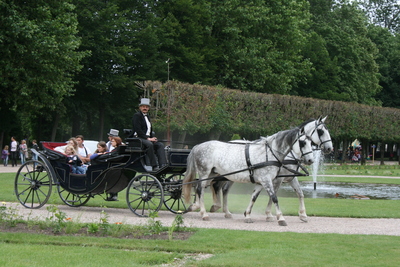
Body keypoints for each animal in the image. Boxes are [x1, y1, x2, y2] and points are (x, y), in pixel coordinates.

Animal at [182, 126, 316, 225]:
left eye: (311, 142)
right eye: (303, 143)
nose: (310, 160)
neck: (269, 154)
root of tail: (198, 146)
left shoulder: (261, 182)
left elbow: (253, 198)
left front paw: (247, 215)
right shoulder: (267, 180)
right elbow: (274, 198)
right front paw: (281, 218)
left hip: (212, 173)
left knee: (202, 188)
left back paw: (199, 208)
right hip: (204, 173)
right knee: (200, 190)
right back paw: (204, 213)